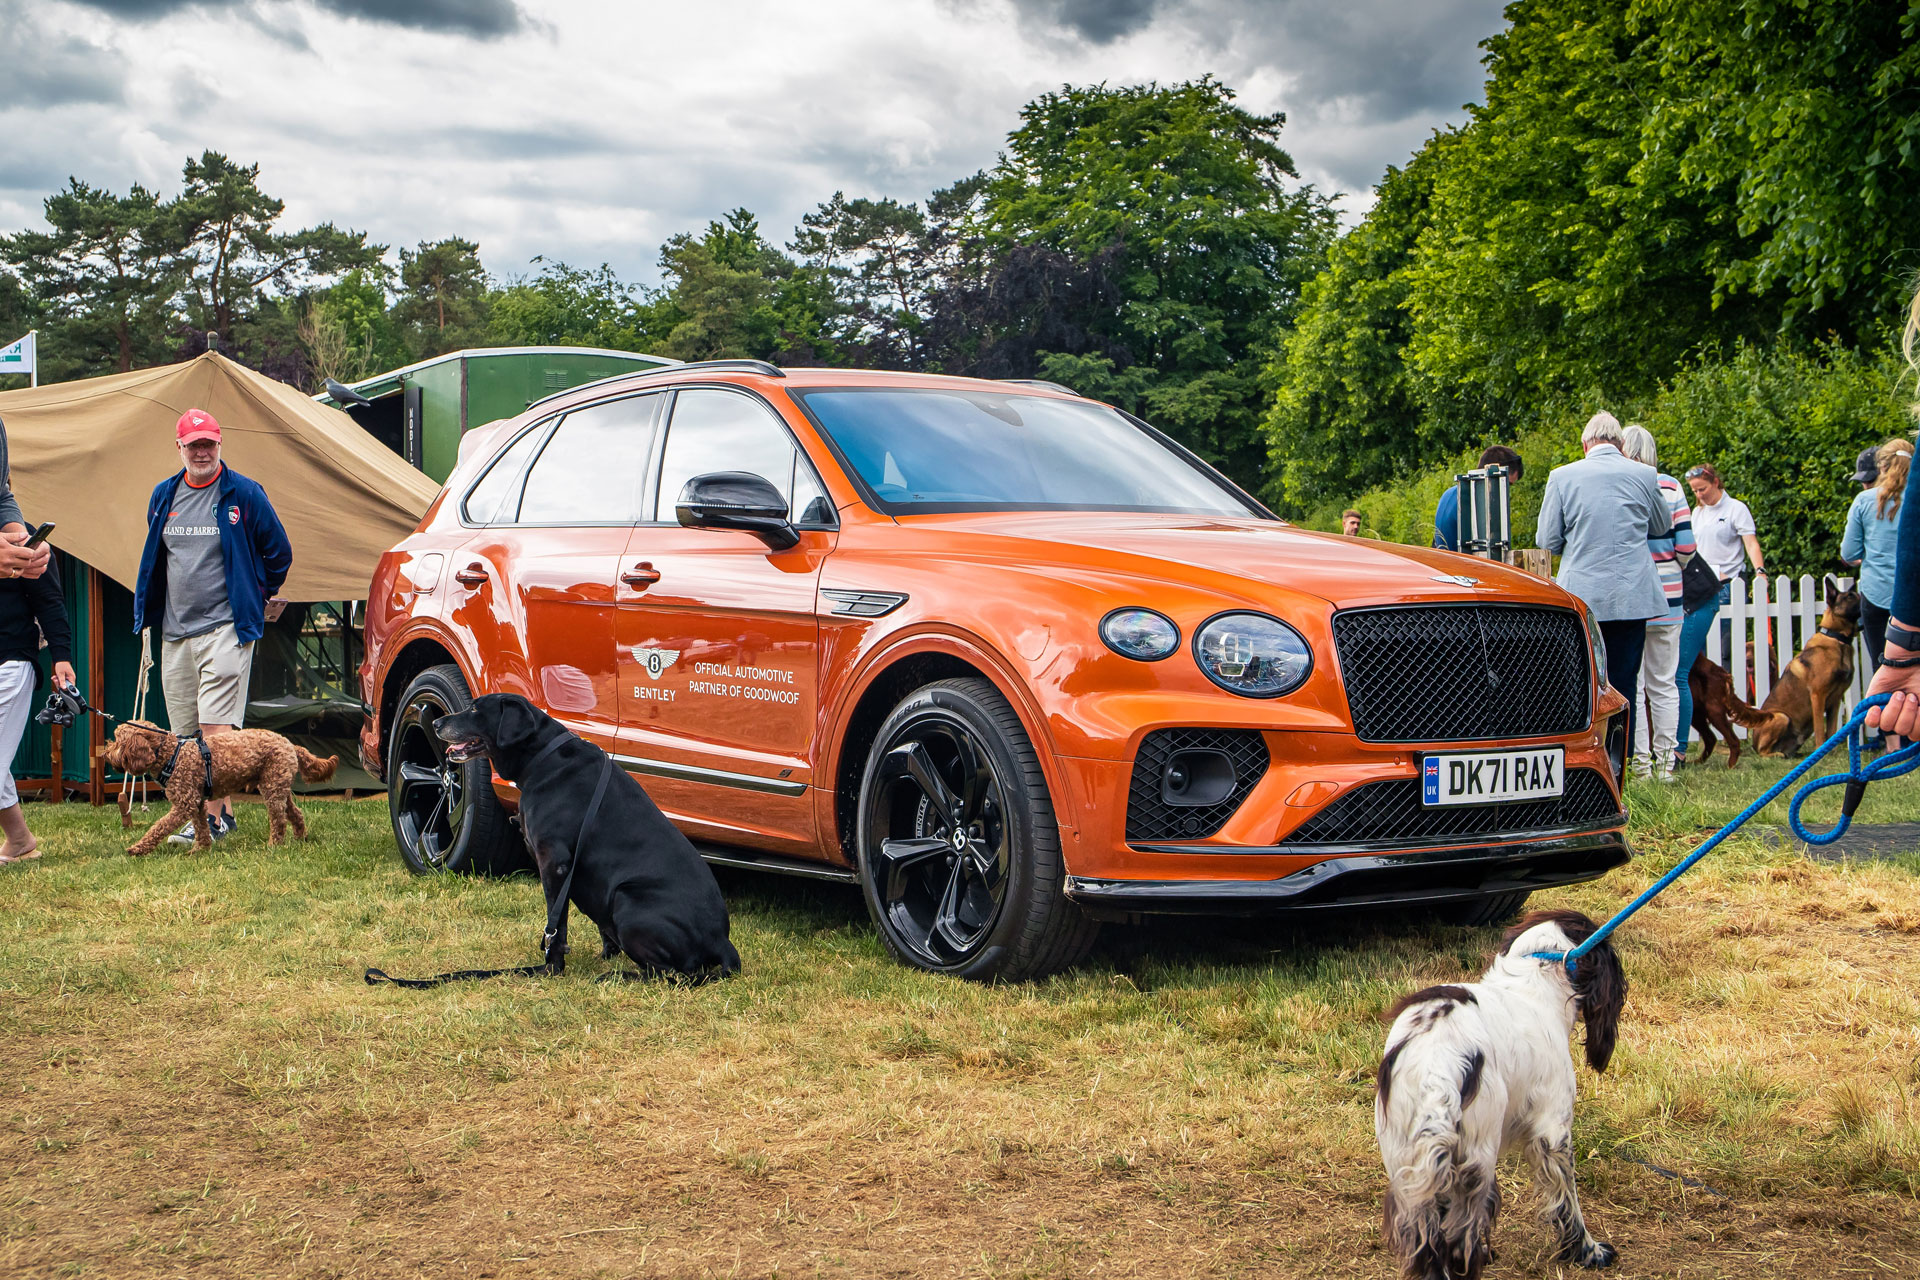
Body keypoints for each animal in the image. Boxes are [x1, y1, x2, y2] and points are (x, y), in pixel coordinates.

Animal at [101, 725, 337, 855]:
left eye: (118, 741)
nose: (105, 753)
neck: (172, 754)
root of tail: (289, 744)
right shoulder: (196, 803)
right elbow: (201, 827)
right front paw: (200, 850)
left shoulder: (184, 803)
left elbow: (158, 827)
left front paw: (138, 848)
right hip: (279, 786)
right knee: (295, 813)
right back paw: (300, 837)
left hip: (272, 788)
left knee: (278, 821)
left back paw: (274, 845)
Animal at [437, 690, 741, 982]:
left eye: (475, 709)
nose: (437, 722)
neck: (542, 758)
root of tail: (722, 941)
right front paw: (603, 956)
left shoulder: (554, 863)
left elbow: (556, 926)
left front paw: (552, 968)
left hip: (627, 900)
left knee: (673, 974)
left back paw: (620, 975)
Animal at [1728, 583, 1858, 756]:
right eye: (1850, 596)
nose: (1863, 596)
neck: (1837, 638)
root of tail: (1753, 744)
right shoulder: (1818, 696)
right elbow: (1820, 730)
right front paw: (1821, 752)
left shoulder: (1835, 701)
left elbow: (1831, 731)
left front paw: (1831, 752)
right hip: (1781, 717)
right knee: (1763, 752)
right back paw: (1777, 754)